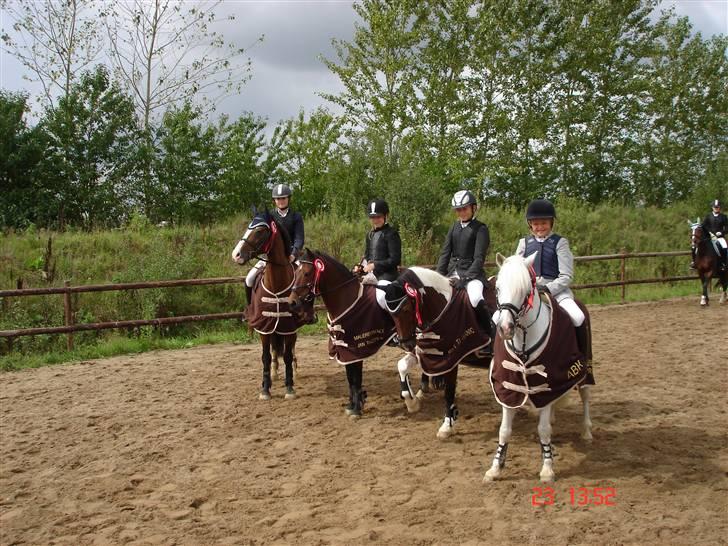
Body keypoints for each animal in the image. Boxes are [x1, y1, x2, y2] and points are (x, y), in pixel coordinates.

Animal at [288, 249, 398, 418]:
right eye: (296, 272)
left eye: (306, 273)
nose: (291, 303)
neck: (347, 299)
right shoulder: (344, 348)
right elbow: (350, 378)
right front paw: (352, 405)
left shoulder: (355, 348)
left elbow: (356, 378)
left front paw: (357, 409)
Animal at [382, 264, 494, 438]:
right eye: (390, 313)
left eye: (406, 309)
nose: (406, 344)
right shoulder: (425, 353)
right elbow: (402, 366)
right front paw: (412, 403)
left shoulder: (452, 358)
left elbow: (449, 392)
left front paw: (447, 426)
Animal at [480, 251, 596, 480]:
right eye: (498, 288)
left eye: (525, 291)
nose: (505, 328)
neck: (524, 336)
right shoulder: (508, 386)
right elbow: (504, 430)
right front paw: (495, 468)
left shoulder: (549, 384)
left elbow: (543, 430)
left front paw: (547, 468)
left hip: (585, 369)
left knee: (585, 395)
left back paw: (586, 432)